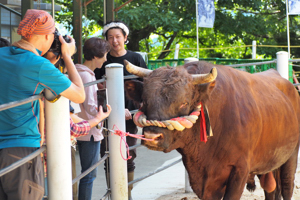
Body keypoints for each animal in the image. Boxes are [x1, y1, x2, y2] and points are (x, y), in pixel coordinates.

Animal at [124, 60, 300, 199]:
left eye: (184, 103)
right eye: (144, 101)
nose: (152, 136)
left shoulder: (240, 171)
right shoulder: (204, 180)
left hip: (291, 156)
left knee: (286, 187)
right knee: (271, 191)